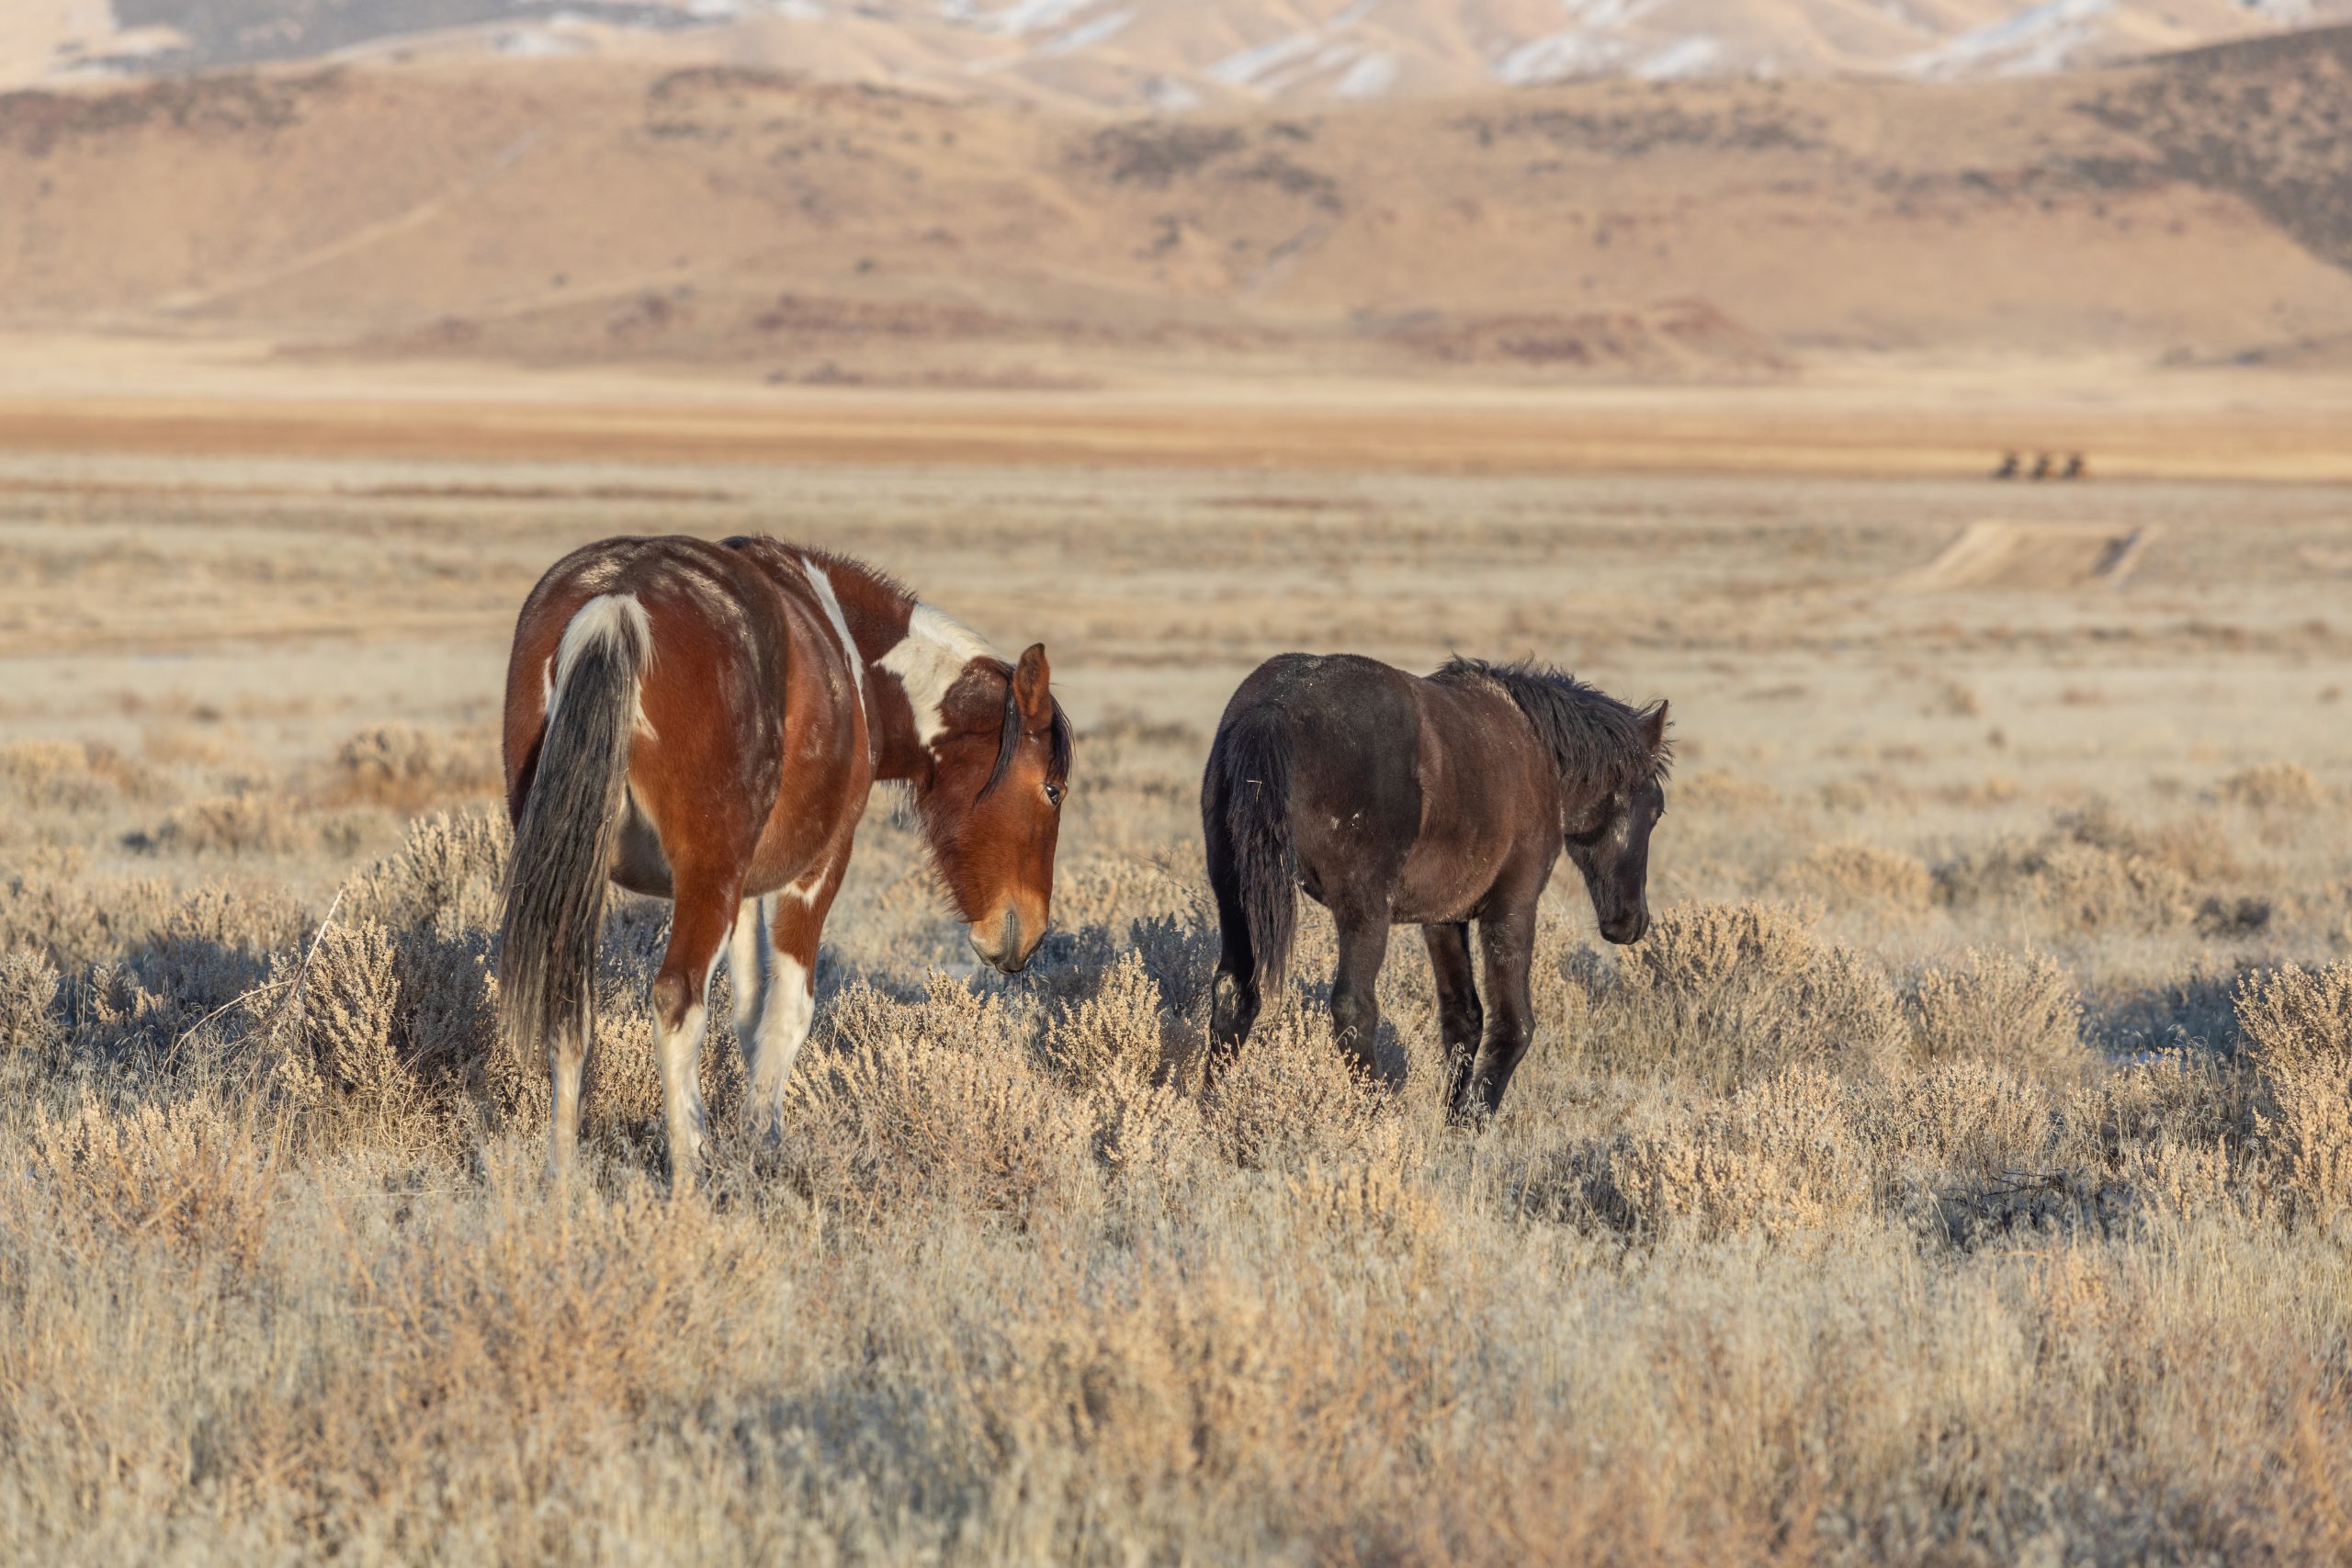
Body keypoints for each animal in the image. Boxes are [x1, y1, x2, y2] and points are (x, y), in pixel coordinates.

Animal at [496, 535, 1072, 1189]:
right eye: (1053, 790)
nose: (1027, 934)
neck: (859, 666)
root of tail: (617, 603)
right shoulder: (816, 869)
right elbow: (788, 1011)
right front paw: (761, 1144)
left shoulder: (744, 891)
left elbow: (749, 1014)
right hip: (703, 880)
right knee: (676, 1001)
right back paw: (690, 1176)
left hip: (577, 880)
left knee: (568, 1005)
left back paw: (562, 1181)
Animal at [1200, 653, 1669, 1118]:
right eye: (1656, 810)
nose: (1630, 923)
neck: (1537, 748)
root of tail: (1274, 707)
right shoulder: (1513, 907)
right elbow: (1514, 1023)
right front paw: (1471, 1118)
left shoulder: (1444, 920)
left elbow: (1464, 1018)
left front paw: (1452, 1114)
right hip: (1363, 911)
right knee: (1353, 1007)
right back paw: (1375, 1114)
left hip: (1235, 897)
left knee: (1234, 993)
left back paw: (1213, 1107)